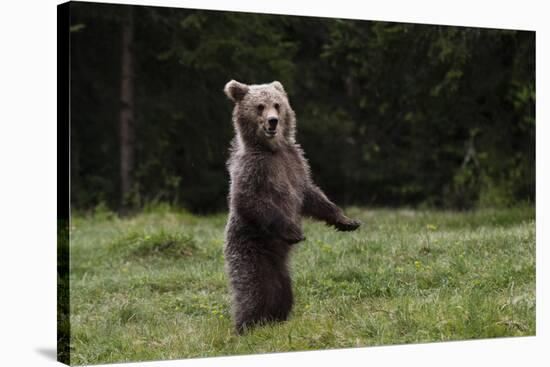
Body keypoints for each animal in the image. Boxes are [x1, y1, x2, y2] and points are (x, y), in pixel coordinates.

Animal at [224, 80, 362, 334]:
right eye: (260, 106)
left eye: (277, 104)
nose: (273, 121)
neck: (272, 149)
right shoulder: (254, 169)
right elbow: (249, 200)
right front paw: (294, 231)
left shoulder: (295, 163)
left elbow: (312, 196)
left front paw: (347, 221)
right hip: (251, 249)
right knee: (254, 290)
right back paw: (245, 325)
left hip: (280, 267)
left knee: (282, 292)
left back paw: (277, 318)